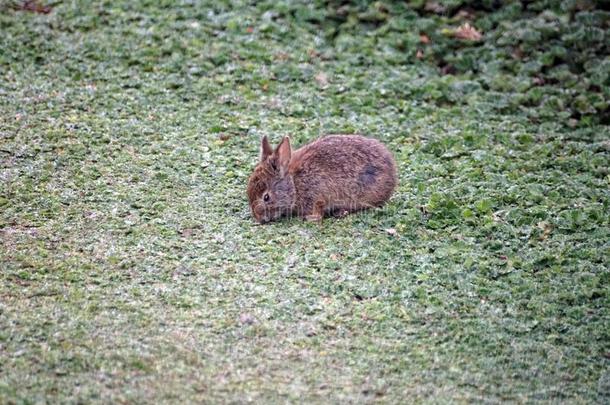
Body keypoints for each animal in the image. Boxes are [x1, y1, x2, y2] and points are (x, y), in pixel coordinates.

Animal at [245, 134, 396, 223]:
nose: (258, 218)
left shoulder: (318, 196)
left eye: (266, 197)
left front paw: (310, 218)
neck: (294, 184)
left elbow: (318, 212)